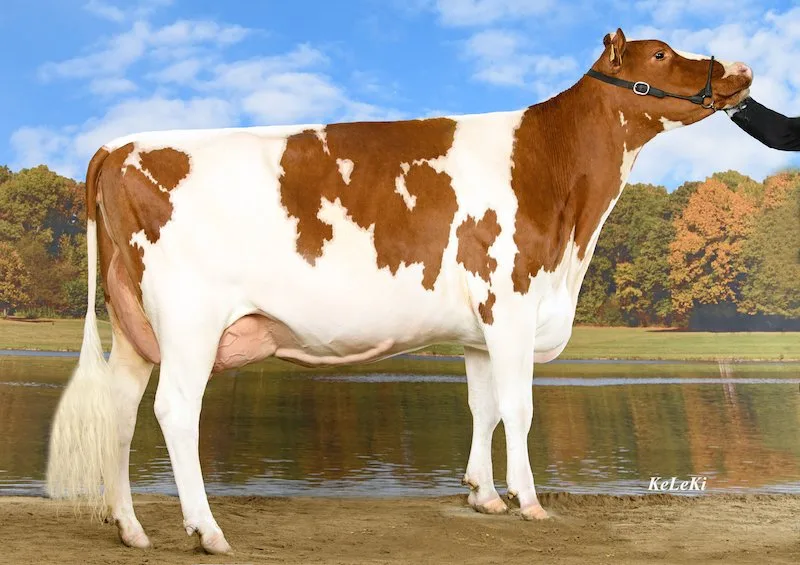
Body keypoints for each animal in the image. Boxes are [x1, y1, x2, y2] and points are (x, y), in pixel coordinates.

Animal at [46, 29, 752, 554]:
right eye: (659, 55)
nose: (741, 70)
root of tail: (121, 144)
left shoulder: (480, 328)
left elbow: (482, 407)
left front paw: (483, 495)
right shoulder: (512, 302)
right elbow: (519, 408)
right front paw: (528, 502)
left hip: (135, 326)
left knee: (120, 409)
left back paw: (131, 529)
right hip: (189, 319)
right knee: (174, 409)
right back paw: (207, 530)